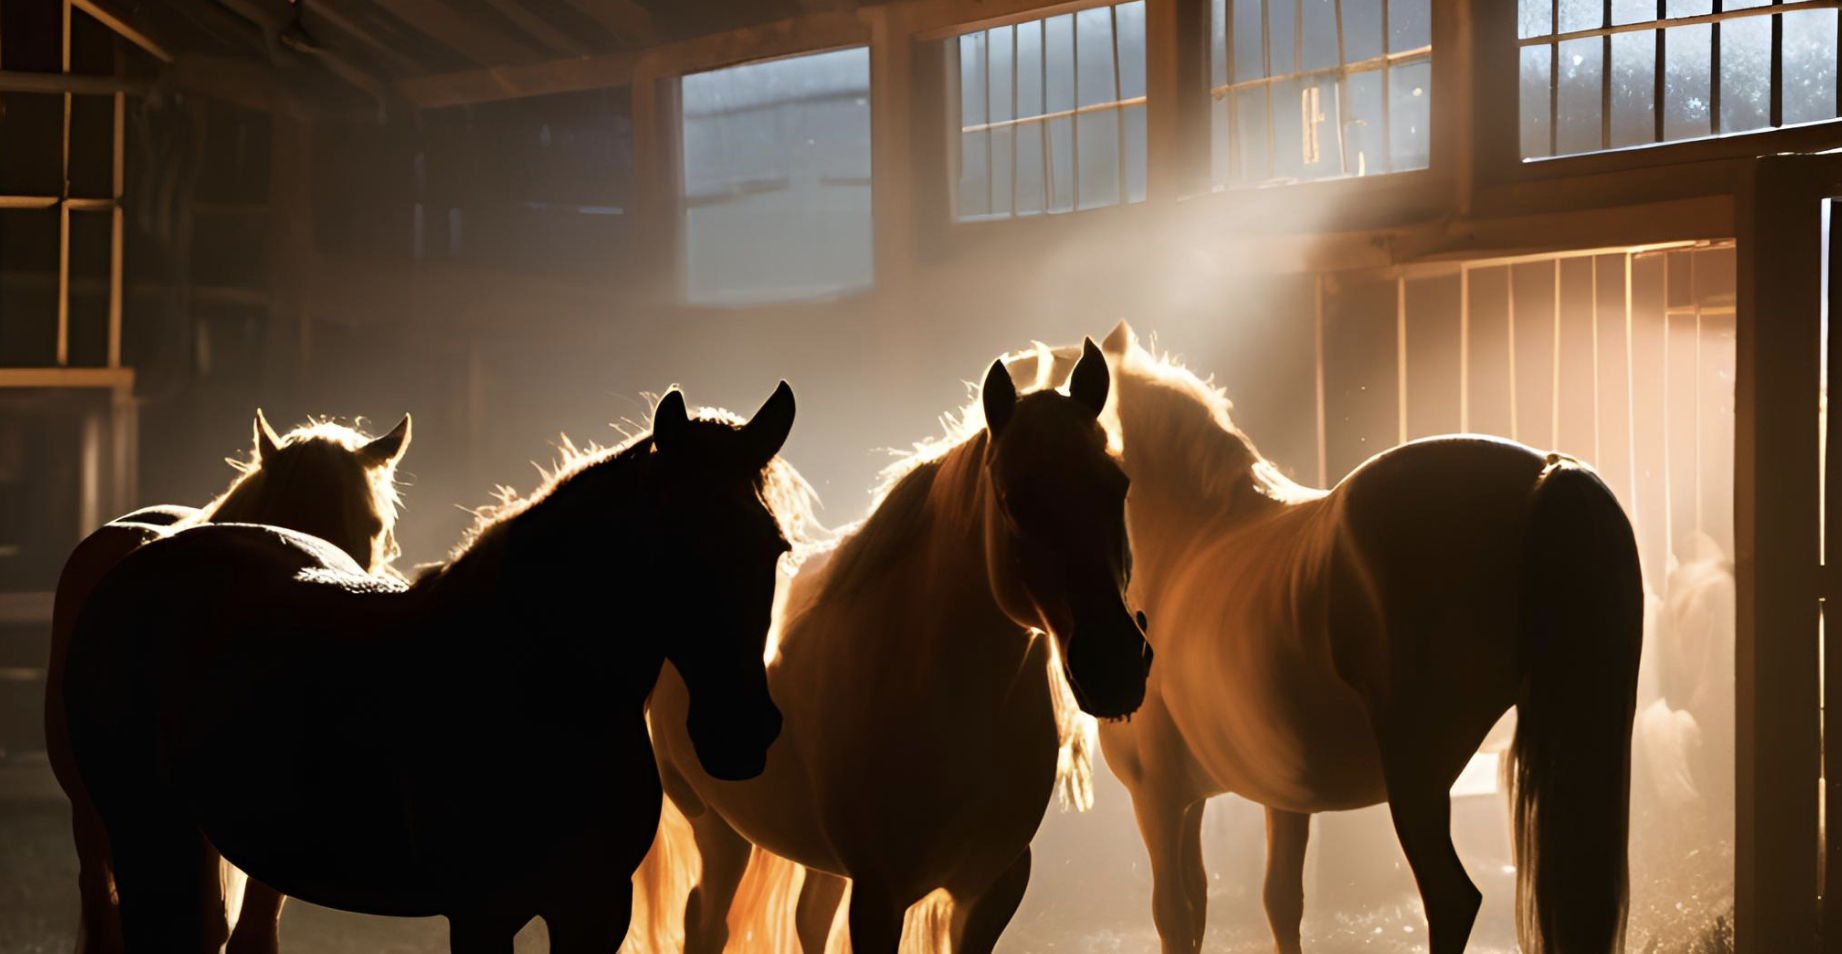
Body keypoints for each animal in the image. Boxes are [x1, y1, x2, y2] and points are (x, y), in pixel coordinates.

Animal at [641, 344, 1142, 954]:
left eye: (1117, 486)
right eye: (1014, 501)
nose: (1116, 667)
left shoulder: (990, 892)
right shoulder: (880, 896)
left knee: (808, 920)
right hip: (719, 832)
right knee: (706, 922)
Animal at [1024, 325, 1643, 954]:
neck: (1189, 536)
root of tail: (1548, 471)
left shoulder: (1160, 799)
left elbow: (1177, 916)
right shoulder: (1270, 798)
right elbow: (1275, 902)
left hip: (1416, 779)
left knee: (1452, 899)